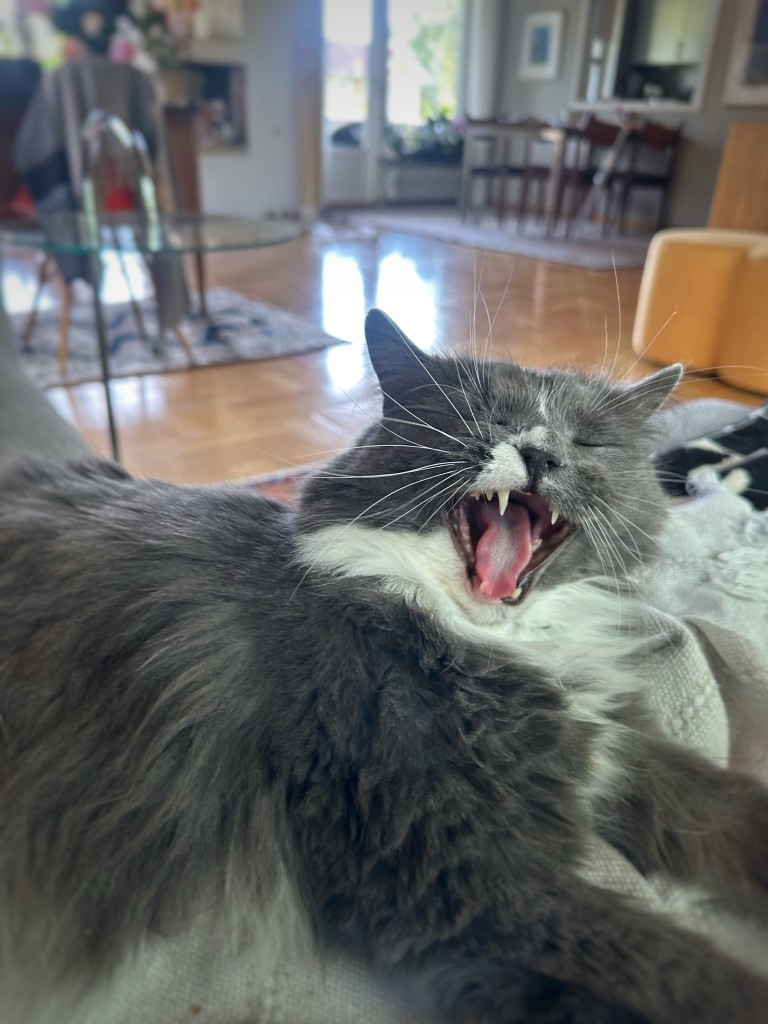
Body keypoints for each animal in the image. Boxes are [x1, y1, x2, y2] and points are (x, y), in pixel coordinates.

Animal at [0, 305, 765, 1024]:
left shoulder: (611, 750)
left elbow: (730, 809)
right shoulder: (458, 877)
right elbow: (675, 964)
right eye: (485, 419)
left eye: (586, 442)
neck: (492, 639)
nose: (541, 453)